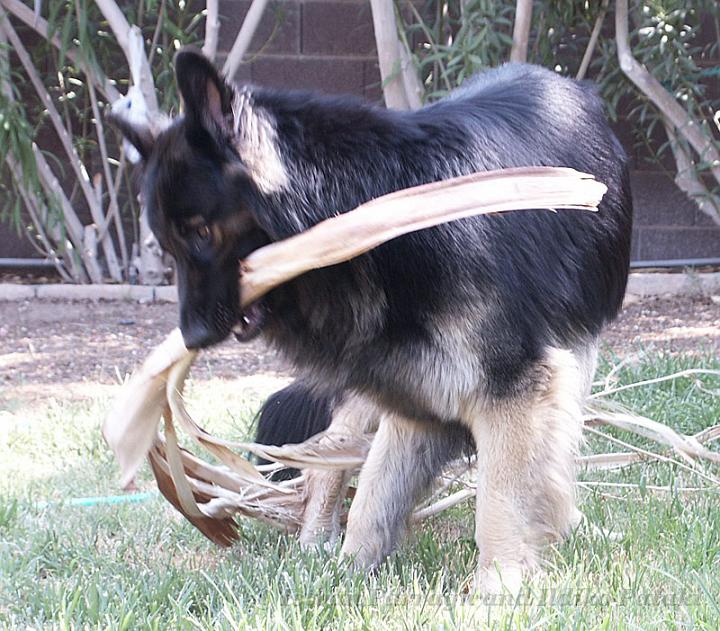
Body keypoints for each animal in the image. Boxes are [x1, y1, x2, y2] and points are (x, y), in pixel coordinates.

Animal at [112, 48, 632, 592]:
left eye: (201, 232)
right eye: (169, 244)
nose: (193, 335)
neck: (377, 212)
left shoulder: (507, 385)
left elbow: (503, 489)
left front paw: (500, 580)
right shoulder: (417, 388)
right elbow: (378, 490)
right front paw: (352, 571)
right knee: (332, 451)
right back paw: (316, 543)